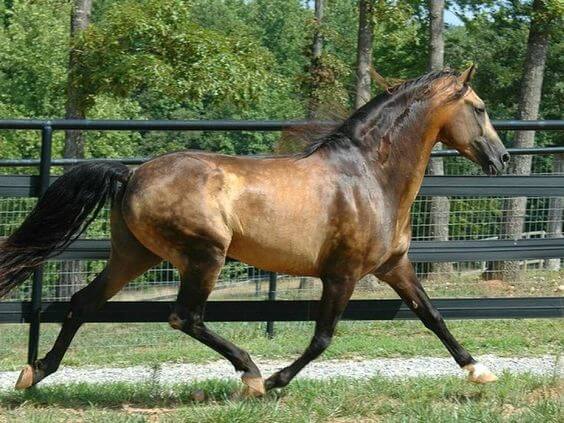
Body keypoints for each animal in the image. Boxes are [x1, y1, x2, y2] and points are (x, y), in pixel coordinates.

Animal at [0, 64, 508, 396]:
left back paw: (34, 373)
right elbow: (322, 338)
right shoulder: (341, 274)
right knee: (185, 316)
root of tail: (131, 174)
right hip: (205, 255)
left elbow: (433, 315)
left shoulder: (394, 266)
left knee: (84, 302)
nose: (502, 159)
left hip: (134, 255)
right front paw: (276, 380)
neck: (368, 175)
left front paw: (479, 370)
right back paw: (250, 373)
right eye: (480, 108)